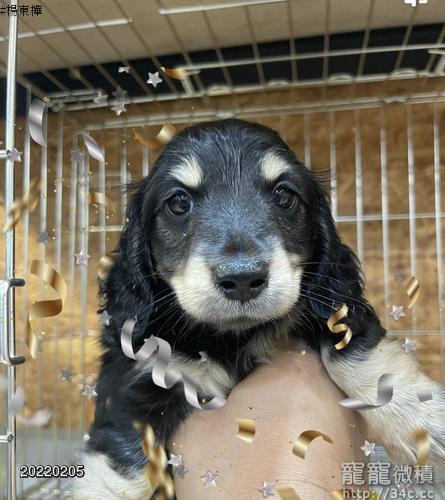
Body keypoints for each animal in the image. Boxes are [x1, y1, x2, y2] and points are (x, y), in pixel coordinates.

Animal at [74, 119, 445, 498]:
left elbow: (357, 352)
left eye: (284, 195)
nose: (241, 278)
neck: (228, 337)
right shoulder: (135, 369)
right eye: (178, 202)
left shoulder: (332, 303)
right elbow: (124, 459)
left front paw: (420, 419)